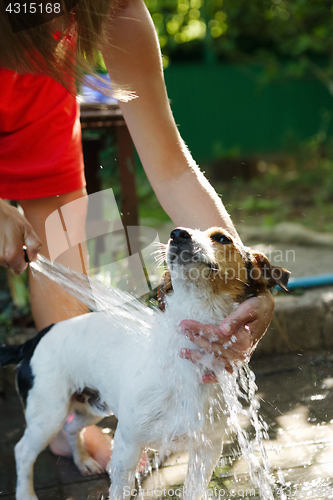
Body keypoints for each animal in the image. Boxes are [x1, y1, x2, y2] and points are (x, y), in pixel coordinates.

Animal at [0, 228, 288, 500]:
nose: (177, 234)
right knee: (22, 450)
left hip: (92, 407)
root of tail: (34, 339)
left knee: (72, 427)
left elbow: (193, 490)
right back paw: (26, 493)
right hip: (48, 413)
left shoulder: (206, 448)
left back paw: (83, 461)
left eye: (222, 238)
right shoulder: (126, 447)